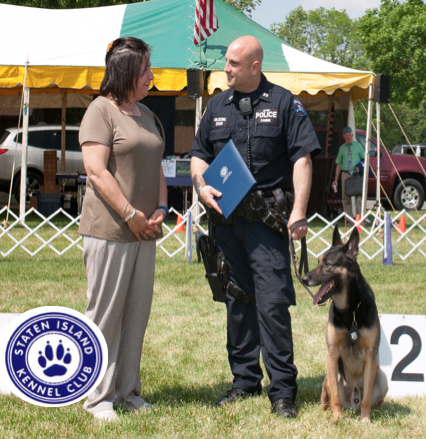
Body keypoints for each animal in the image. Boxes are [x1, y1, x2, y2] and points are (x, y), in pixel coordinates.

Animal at [302, 227, 388, 422]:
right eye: (318, 261)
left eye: (327, 263)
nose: (303, 278)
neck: (350, 310)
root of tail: (352, 400)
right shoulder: (332, 353)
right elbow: (335, 396)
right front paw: (337, 418)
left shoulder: (370, 354)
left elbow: (366, 399)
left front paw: (365, 420)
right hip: (328, 375)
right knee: (326, 398)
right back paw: (327, 412)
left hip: (382, 376)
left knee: (371, 399)